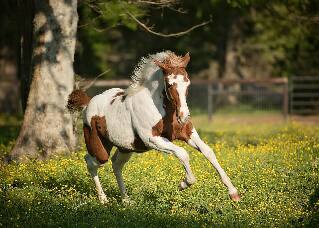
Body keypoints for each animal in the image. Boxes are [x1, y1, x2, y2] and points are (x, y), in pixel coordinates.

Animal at [69, 51, 241, 203]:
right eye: (170, 84)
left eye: (187, 82)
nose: (184, 116)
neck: (162, 108)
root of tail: (87, 104)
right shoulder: (152, 139)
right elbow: (183, 153)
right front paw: (183, 184)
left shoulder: (187, 133)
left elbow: (208, 151)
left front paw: (233, 193)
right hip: (100, 148)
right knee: (91, 162)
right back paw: (103, 199)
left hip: (126, 148)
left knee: (116, 164)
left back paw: (126, 200)